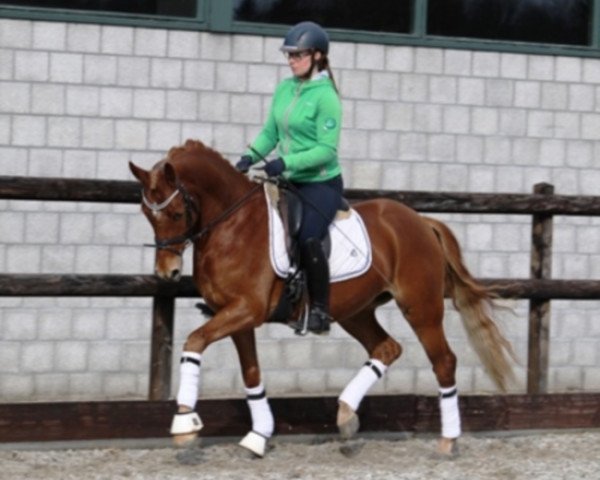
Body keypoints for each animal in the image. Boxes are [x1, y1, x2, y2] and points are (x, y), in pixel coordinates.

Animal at [129, 139, 512, 458]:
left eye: (176, 213)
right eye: (147, 214)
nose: (167, 272)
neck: (233, 224)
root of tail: (421, 221)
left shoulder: (247, 309)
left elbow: (194, 342)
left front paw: (184, 425)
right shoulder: (234, 315)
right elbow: (251, 373)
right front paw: (258, 436)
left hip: (420, 308)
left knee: (443, 361)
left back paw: (448, 440)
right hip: (355, 311)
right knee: (386, 348)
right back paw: (346, 416)